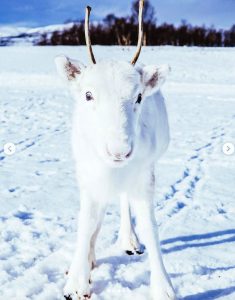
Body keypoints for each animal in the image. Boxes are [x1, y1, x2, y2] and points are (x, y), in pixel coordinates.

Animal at [55, 1, 176, 298]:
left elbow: (150, 226)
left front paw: (163, 286)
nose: (119, 151)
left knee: (122, 201)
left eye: (139, 96)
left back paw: (128, 240)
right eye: (88, 94)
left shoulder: (144, 176)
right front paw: (77, 280)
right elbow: (87, 222)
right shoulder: (88, 173)